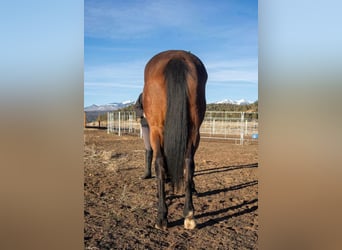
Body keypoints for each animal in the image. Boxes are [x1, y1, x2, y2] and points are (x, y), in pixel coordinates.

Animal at [142, 49, 207, 229]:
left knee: (159, 164)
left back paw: (161, 217)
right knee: (188, 163)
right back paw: (189, 215)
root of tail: (176, 57)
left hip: (156, 130)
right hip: (194, 131)